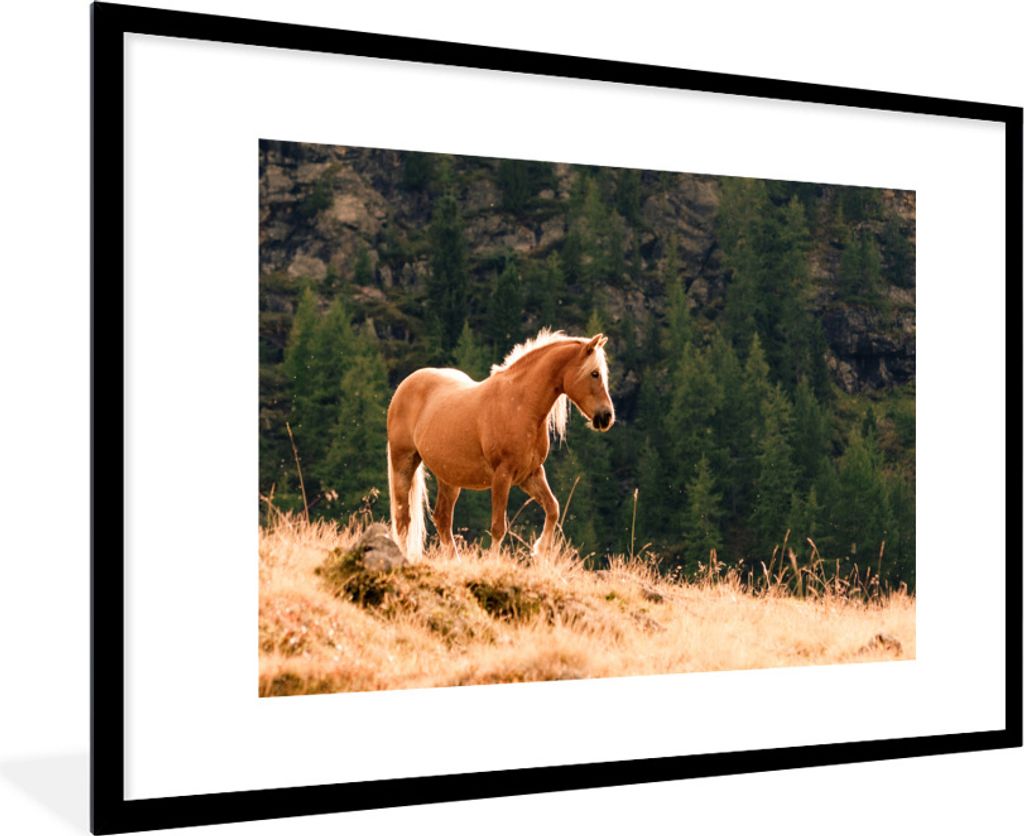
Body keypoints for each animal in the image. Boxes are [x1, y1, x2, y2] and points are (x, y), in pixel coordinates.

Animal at [386, 329, 615, 560]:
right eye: (594, 373)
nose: (606, 417)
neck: (520, 405)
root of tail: (404, 386)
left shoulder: (531, 474)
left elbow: (553, 508)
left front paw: (540, 551)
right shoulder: (502, 475)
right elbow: (498, 527)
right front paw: (493, 561)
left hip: (449, 477)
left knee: (442, 519)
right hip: (403, 463)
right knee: (403, 519)